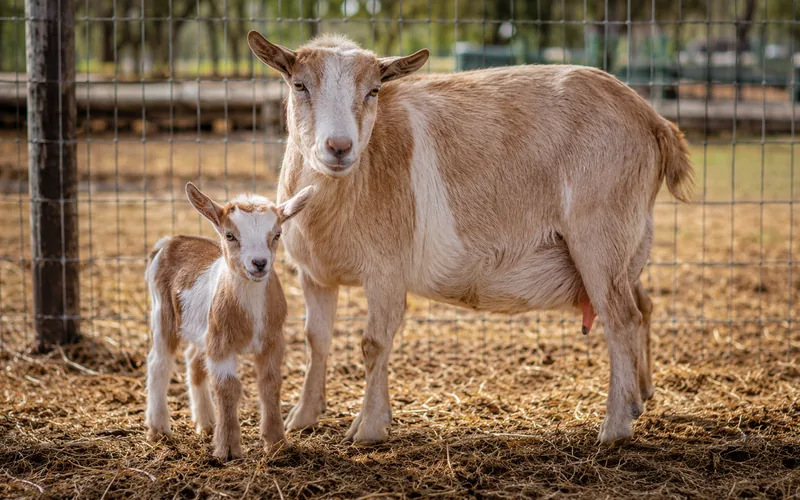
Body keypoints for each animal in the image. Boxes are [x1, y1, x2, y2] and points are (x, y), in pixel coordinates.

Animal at [144, 182, 314, 459]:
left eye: (277, 234)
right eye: (230, 235)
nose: (259, 263)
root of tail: (169, 241)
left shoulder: (273, 340)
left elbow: (270, 384)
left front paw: (276, 443)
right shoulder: (221, 344)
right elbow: (228, 387)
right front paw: (228, 449)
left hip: (202, 329)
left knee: (193, 360)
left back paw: (206, 422)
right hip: (162, 313)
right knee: (159, 362)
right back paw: (159, 429)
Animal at [247, 31, 694, 445]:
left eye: (373, 90)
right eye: (299, 84)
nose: (339, 147)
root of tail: (653, 120)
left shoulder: (386, 271)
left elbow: (373, 343)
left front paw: (369, 428)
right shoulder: (314, 274)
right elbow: (316, 340)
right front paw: (303, 417)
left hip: (601, 235)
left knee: (622, 320)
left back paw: (614, 428)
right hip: (626, 248)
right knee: (643, 306)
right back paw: (639, 398)